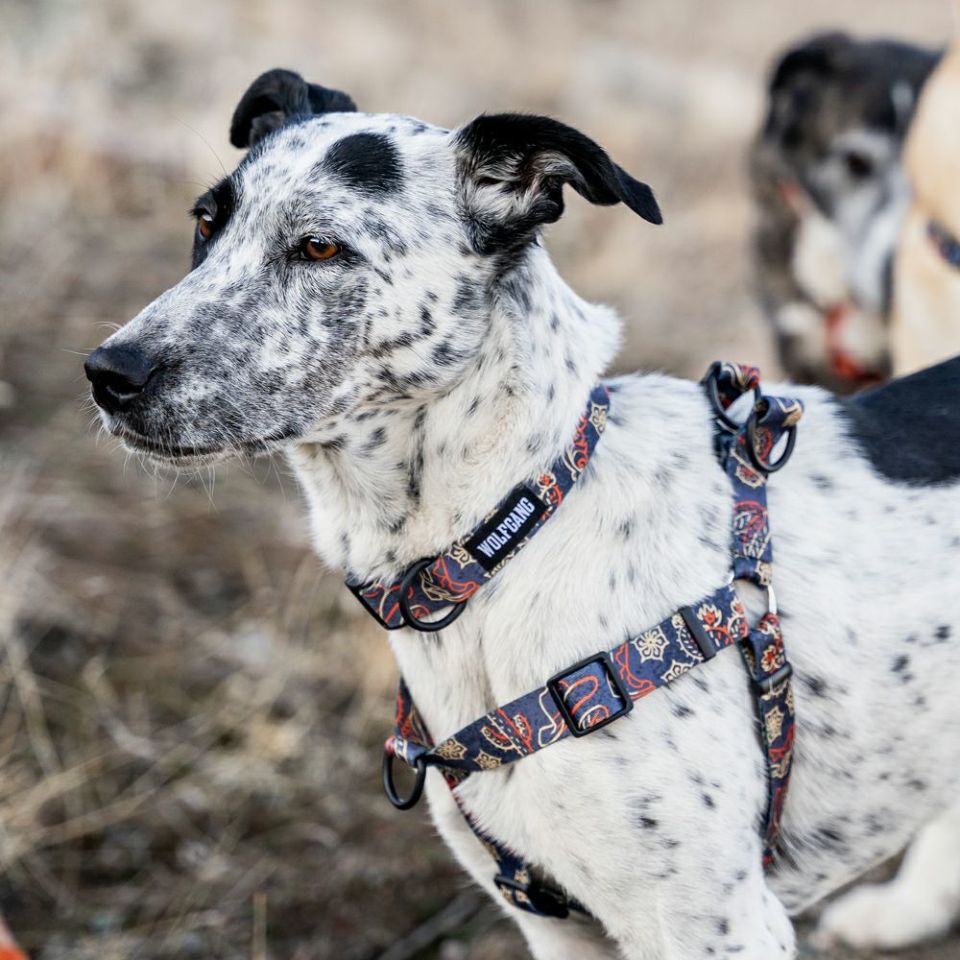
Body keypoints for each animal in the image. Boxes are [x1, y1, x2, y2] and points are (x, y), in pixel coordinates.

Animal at [84, 71, 960, 956]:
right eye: (206, 223)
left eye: (321, 248)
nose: (108, 372)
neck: (509, 534)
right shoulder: (554, 925)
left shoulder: (719, 926)